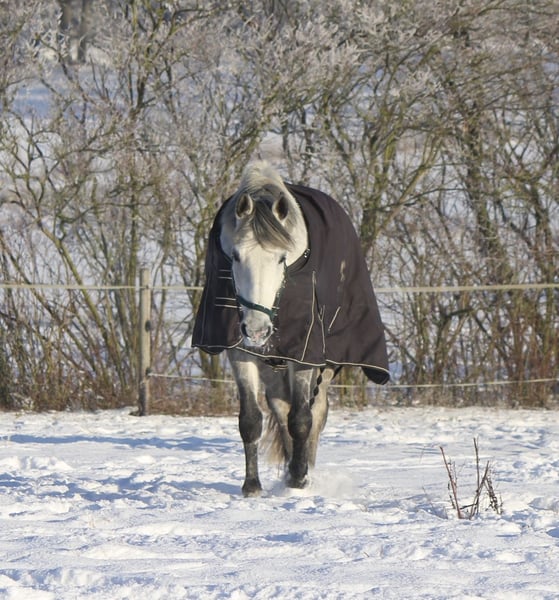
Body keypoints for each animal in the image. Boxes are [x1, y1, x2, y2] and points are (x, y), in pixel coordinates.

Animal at [193, 161, 389, 496]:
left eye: (281, 258)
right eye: (235, 256)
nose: (257, 329)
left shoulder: (304, 353)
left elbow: (302, 419)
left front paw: (299, 479)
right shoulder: (239, 352)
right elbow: (251, 420)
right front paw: (252, 486)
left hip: (324, 364)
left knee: (316, 411)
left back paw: (304, 469)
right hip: (272, 365)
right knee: (280, 409)